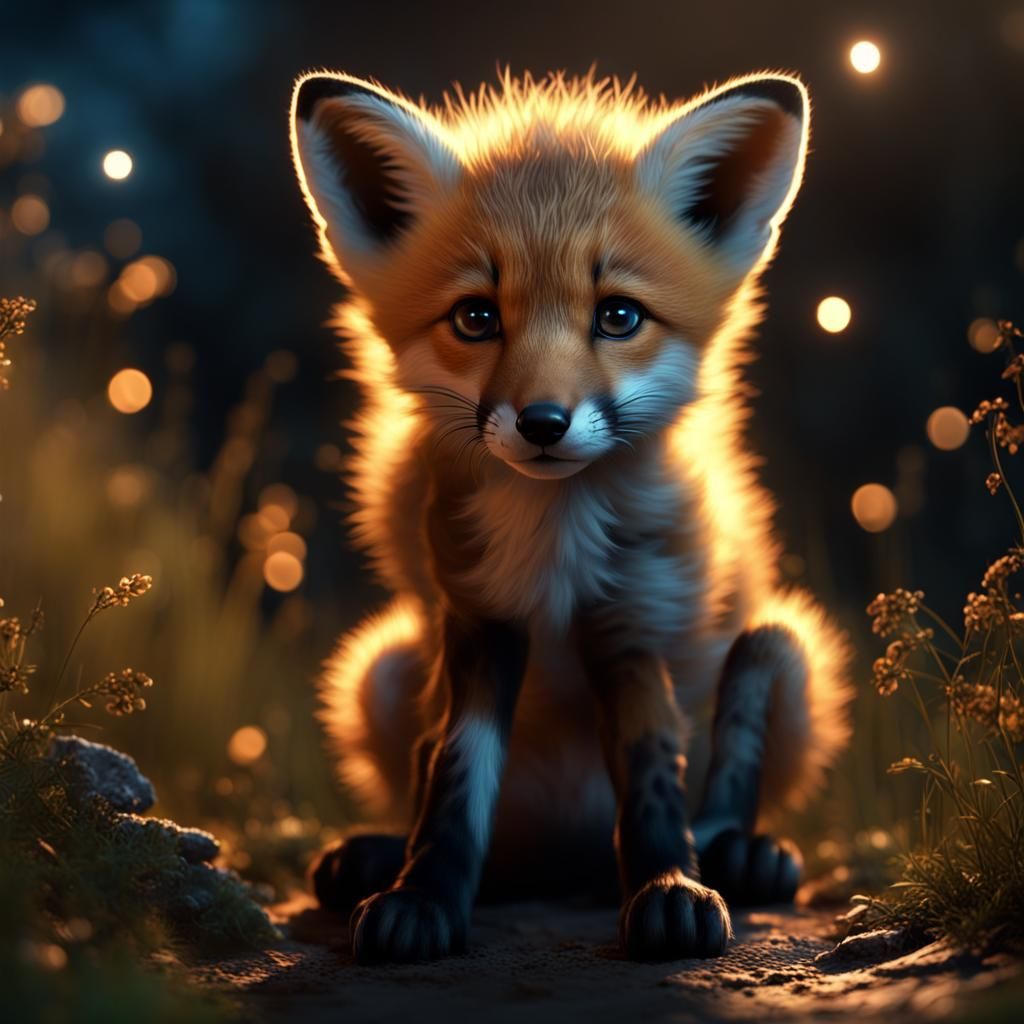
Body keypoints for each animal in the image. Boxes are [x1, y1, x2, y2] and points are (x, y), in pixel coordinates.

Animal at [289, 66, 853, 964]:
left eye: (618, 315)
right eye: (476, 317)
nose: (543, 423)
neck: (554, 547)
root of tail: (568, 858)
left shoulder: (630, 623)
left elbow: (654, 777)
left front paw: (670, 891)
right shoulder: (479, 619)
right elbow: (453, 776)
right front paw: (422, 897)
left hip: (783, 650)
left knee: (729, 771)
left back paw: (741, 855)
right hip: (379, 671)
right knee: (460, 806)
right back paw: (387, 858)